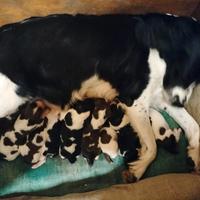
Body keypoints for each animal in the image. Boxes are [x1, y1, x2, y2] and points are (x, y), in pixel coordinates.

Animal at [0, 12, 199, 180]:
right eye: (187, 72)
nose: (181, 101)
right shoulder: (134, 100)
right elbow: (152, 145)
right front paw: (138, 169)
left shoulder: (160, 96)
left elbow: (194, 127)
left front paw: (194, 156)